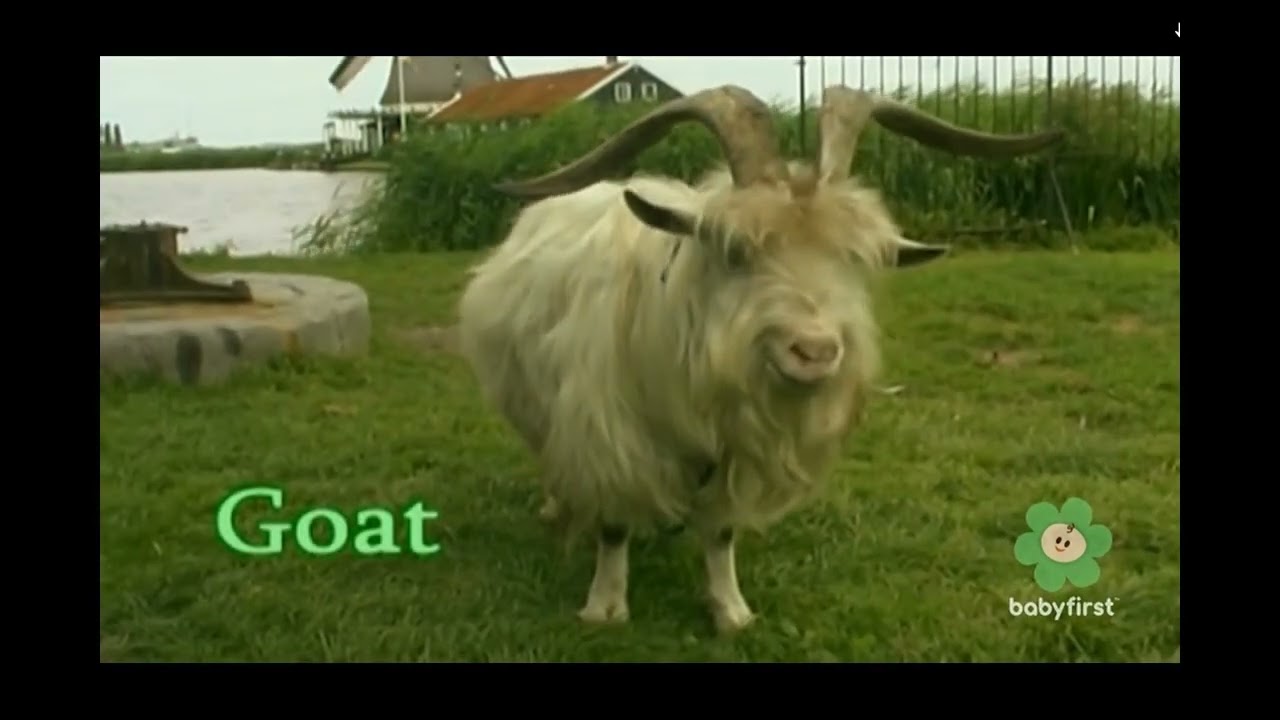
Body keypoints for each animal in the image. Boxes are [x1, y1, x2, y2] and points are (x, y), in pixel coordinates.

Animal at [455, 85, 1064, 633]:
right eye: (735, 250)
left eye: (853, 260)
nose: (815, 351)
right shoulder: (609, 434)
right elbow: (613, 525)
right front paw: (605, 607)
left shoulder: (735, 454)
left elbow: (721, 533)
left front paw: (731, 611)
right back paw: (557, 506)